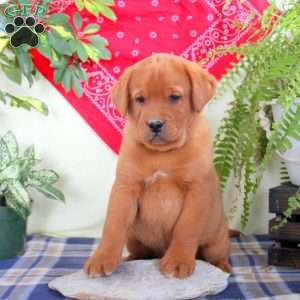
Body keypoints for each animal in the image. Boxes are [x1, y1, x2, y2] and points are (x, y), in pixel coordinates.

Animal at [85, 52, 232, 278]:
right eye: (140, 99)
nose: (154, 124)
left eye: (174, 97)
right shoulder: (125, 187)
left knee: (217, 254)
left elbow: (186, 228)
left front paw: (178, 259)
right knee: (140, 251)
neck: (163, 154)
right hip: (134, 238)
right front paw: (102, 258)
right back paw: (130, 258)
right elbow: (113, 226)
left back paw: (222, 266)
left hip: (216, 238)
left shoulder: (197, 190)